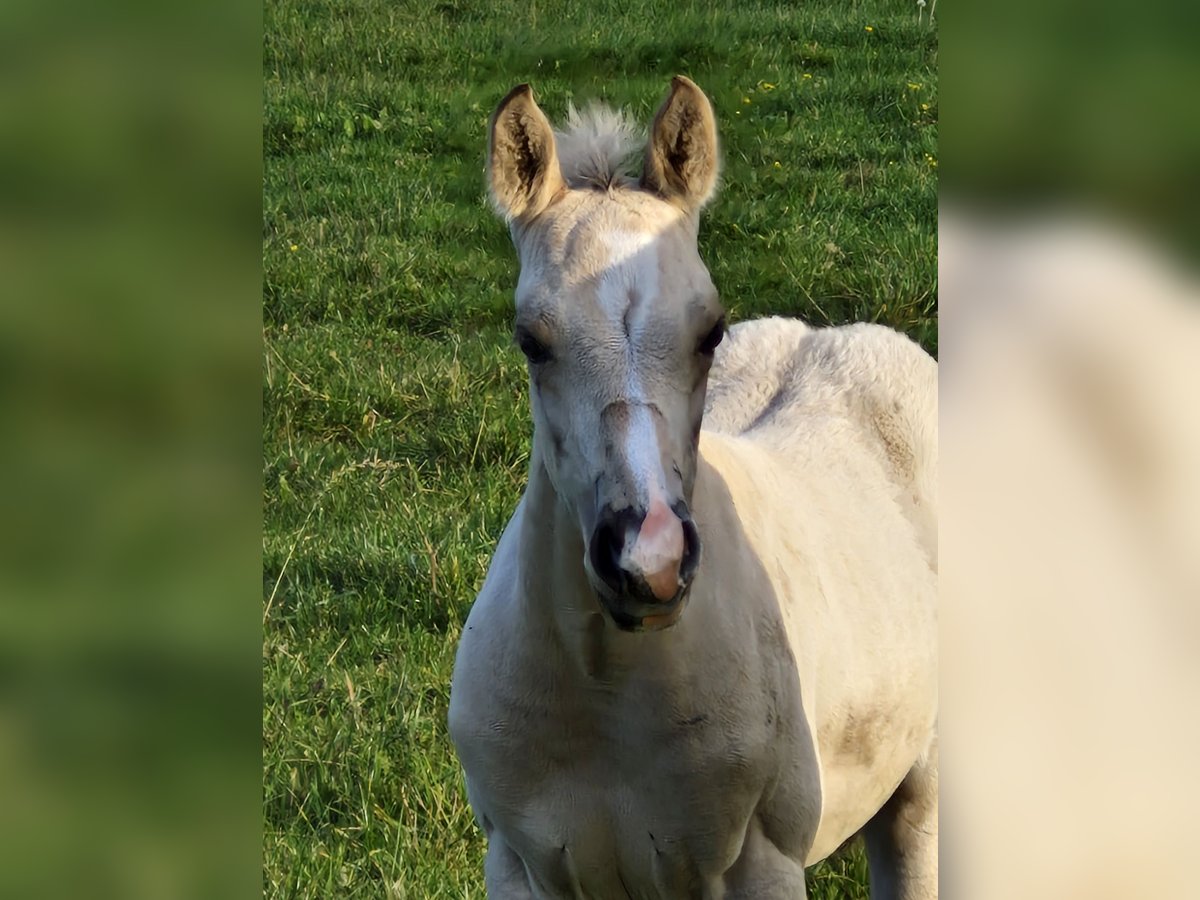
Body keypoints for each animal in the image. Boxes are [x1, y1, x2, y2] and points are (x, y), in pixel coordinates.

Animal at [451, 79, 936, 900]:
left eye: (709, 330)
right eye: (530, 341)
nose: (648, 562)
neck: (608, 690)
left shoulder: (760, 865)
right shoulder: (518, 864)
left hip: (923, 791)